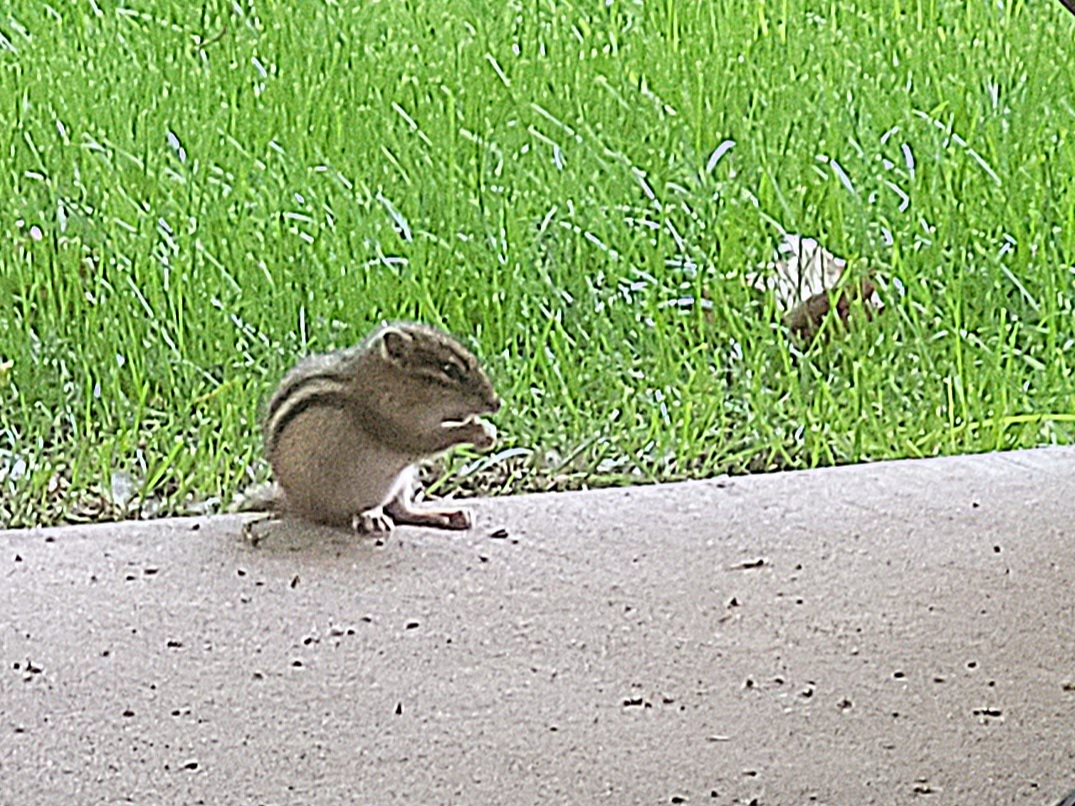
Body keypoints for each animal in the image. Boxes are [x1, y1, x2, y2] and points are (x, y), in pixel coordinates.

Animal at [238, 321, 500, 534]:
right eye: (449, 370)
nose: (496, 403)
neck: (386, 383)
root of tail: (293, 503)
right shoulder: (392, 425)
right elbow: (426, 440)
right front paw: (477, 432)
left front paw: (486, 428)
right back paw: (369, 517)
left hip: (402, 480)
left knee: (401, 510)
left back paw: (447, 515)